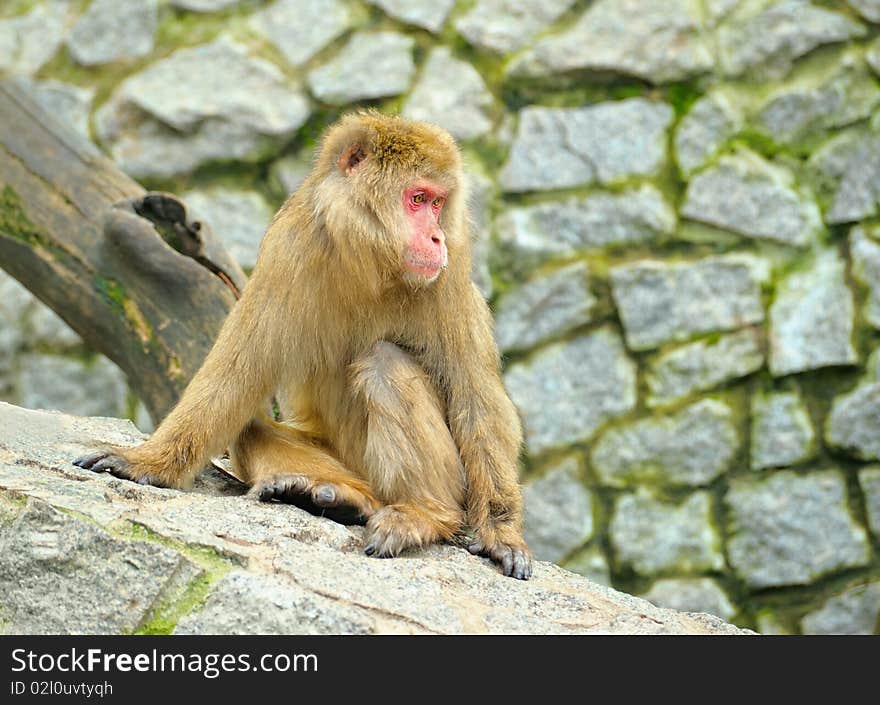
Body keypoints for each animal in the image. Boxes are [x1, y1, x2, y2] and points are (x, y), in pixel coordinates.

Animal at [74, 111, 528, 576]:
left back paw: (427, 512)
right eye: (417, 199)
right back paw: (343, 498)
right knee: (250, 429)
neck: (369, 260)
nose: (436, 237)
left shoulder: (451, 271)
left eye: (438, 204)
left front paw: (500, 531)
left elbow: (475, 399)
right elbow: (236, 374)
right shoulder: (288, 246)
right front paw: (149, 463)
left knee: (385, 363)